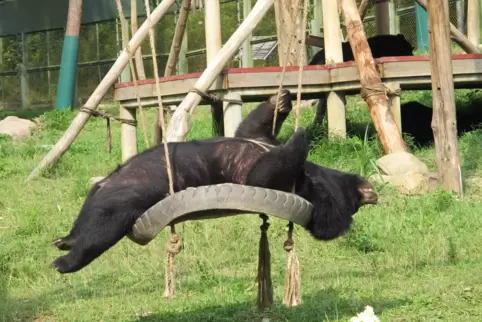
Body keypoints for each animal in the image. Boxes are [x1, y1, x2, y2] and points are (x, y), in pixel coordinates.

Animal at [51, 124, 308, 272]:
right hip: (117, 198)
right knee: (98, 226)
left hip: (117, 198)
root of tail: (108, 181)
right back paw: (65, 252)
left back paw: (65, 250)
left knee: (98, 224)